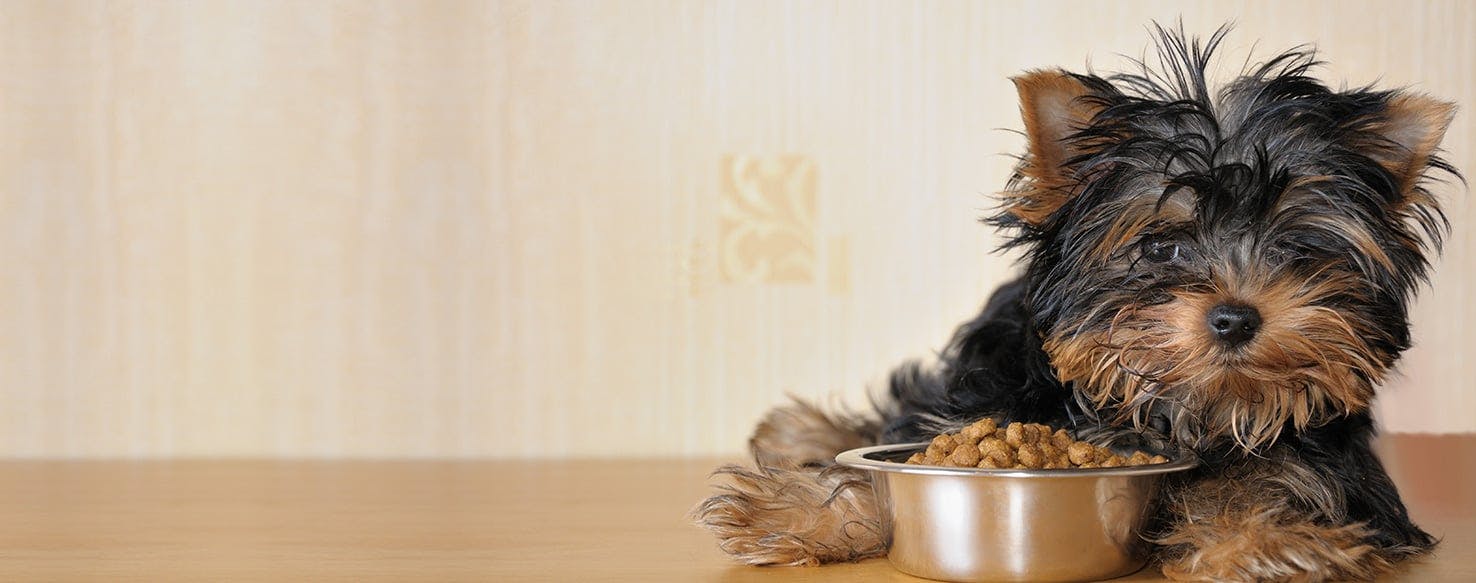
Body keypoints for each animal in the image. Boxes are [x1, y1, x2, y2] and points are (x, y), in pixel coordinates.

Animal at [696, 28, 1458, 583]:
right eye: (1159, 246)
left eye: (1297, 249)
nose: (1236, 316)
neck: (1183, 410)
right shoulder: (990, 399)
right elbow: (889, 462)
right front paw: (797, 511)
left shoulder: (1331, 463)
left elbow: (1270, 481)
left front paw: (1269, 541)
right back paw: (796, 432)